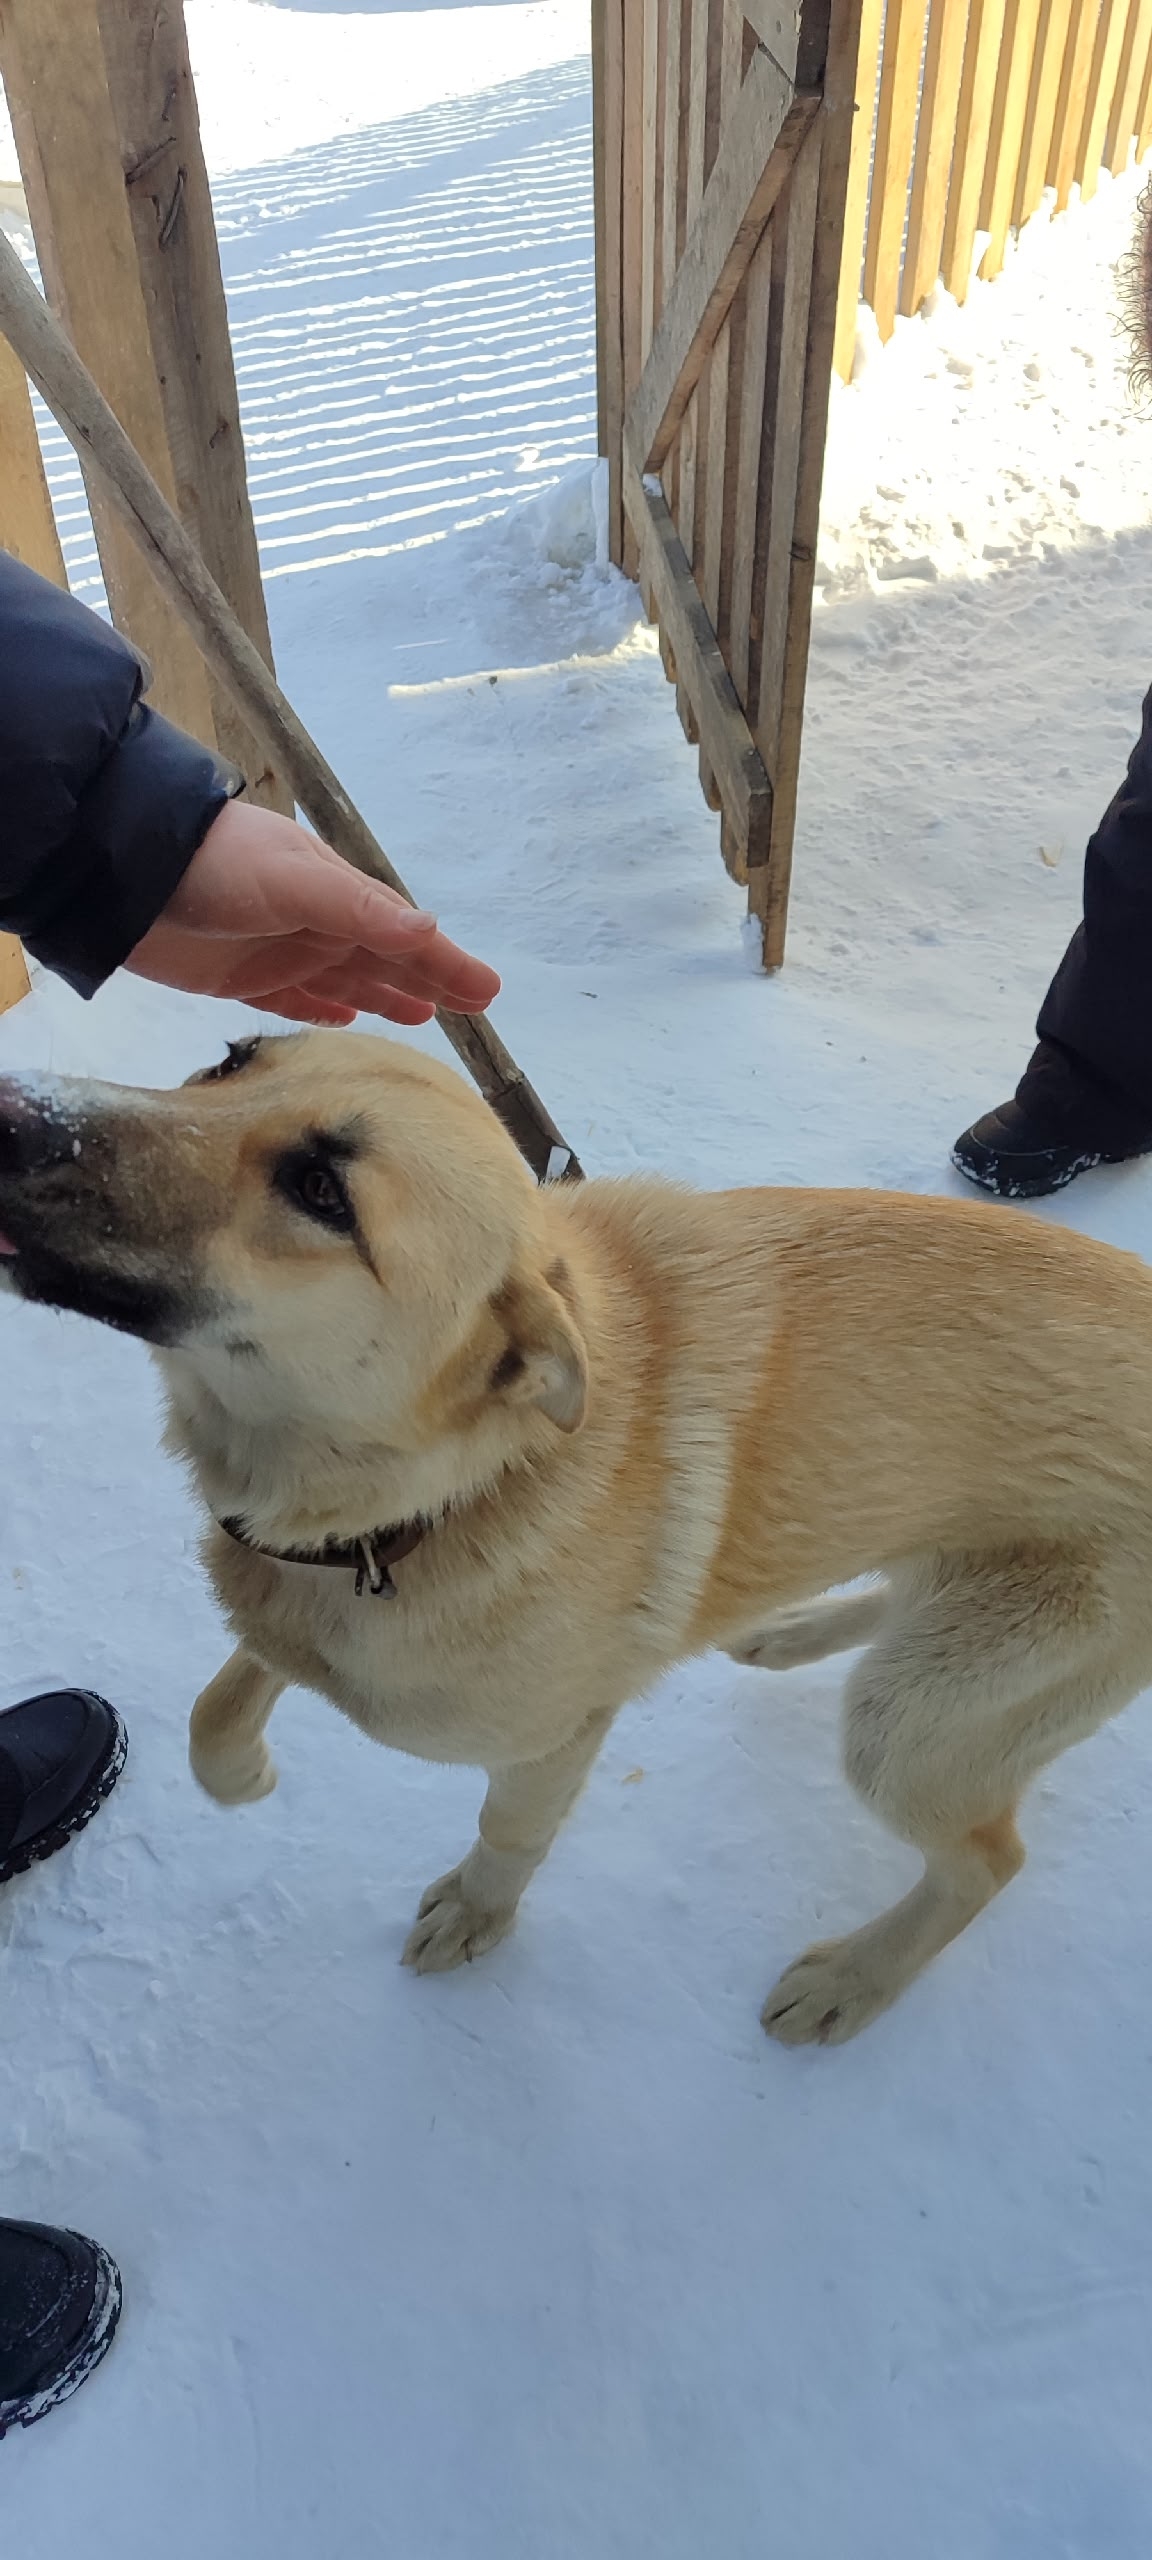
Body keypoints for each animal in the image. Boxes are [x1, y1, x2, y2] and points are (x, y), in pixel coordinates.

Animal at [3, 1028, 1152, 2043]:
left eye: (323, 1192)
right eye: (230, 1061)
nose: (14, 1111)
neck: (456, 1491)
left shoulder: (552, 1734)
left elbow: (507, 1829)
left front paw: (478, 1913)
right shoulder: (292, 1590)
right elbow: (220, 1702)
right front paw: (242, 1772)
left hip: (909, 1721)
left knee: (986, 1861)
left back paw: (854, 1980)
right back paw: (792, 1633)